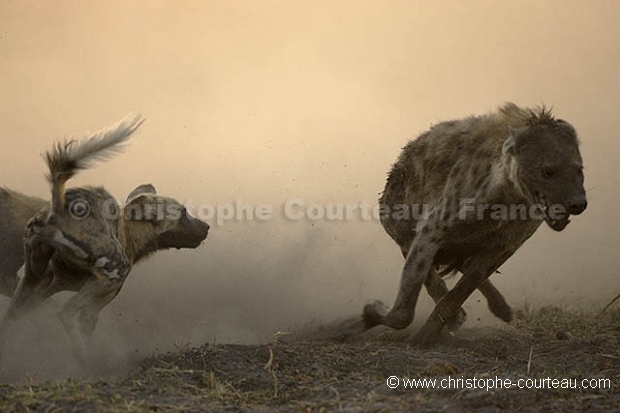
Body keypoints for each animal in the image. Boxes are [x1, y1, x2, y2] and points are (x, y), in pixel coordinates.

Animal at [0, 114, 209, 358]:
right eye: (183, 213)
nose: (206, 227)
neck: (128, 234)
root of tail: (60, 207)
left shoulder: (47, 286)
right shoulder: (98, 300)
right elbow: (82, 322)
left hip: (30, 276)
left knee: (12, 316)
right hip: (112, 272)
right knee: (66, 312)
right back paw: (88, 361)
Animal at [364, 103, 588, 344]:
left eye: (579, 169)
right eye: (547, 171)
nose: (578, 203)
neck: (505, 201)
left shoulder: (504, 246)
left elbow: (460, 292)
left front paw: (428, 334)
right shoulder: (430, 232)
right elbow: (404, 309)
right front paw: (371, 313)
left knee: (465, 265)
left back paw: (501, 308)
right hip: (400, 221)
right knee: (429, 266)